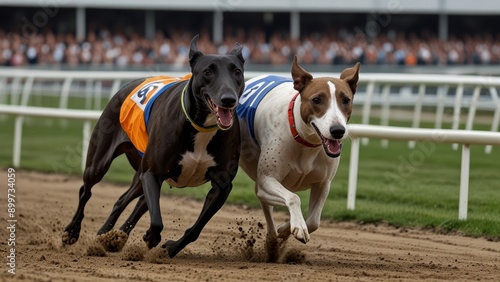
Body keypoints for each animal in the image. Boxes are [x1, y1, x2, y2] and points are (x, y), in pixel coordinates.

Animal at [236, 56, 358, 260]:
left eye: (346, 100)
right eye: (316, 99)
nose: (338, 131)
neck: (304, 140)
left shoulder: (323, 183)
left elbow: (314, 221)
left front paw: (288, 228)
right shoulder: (268, 179)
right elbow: (293, 198)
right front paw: (296, 227)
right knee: (265, 204)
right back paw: (272, 243)